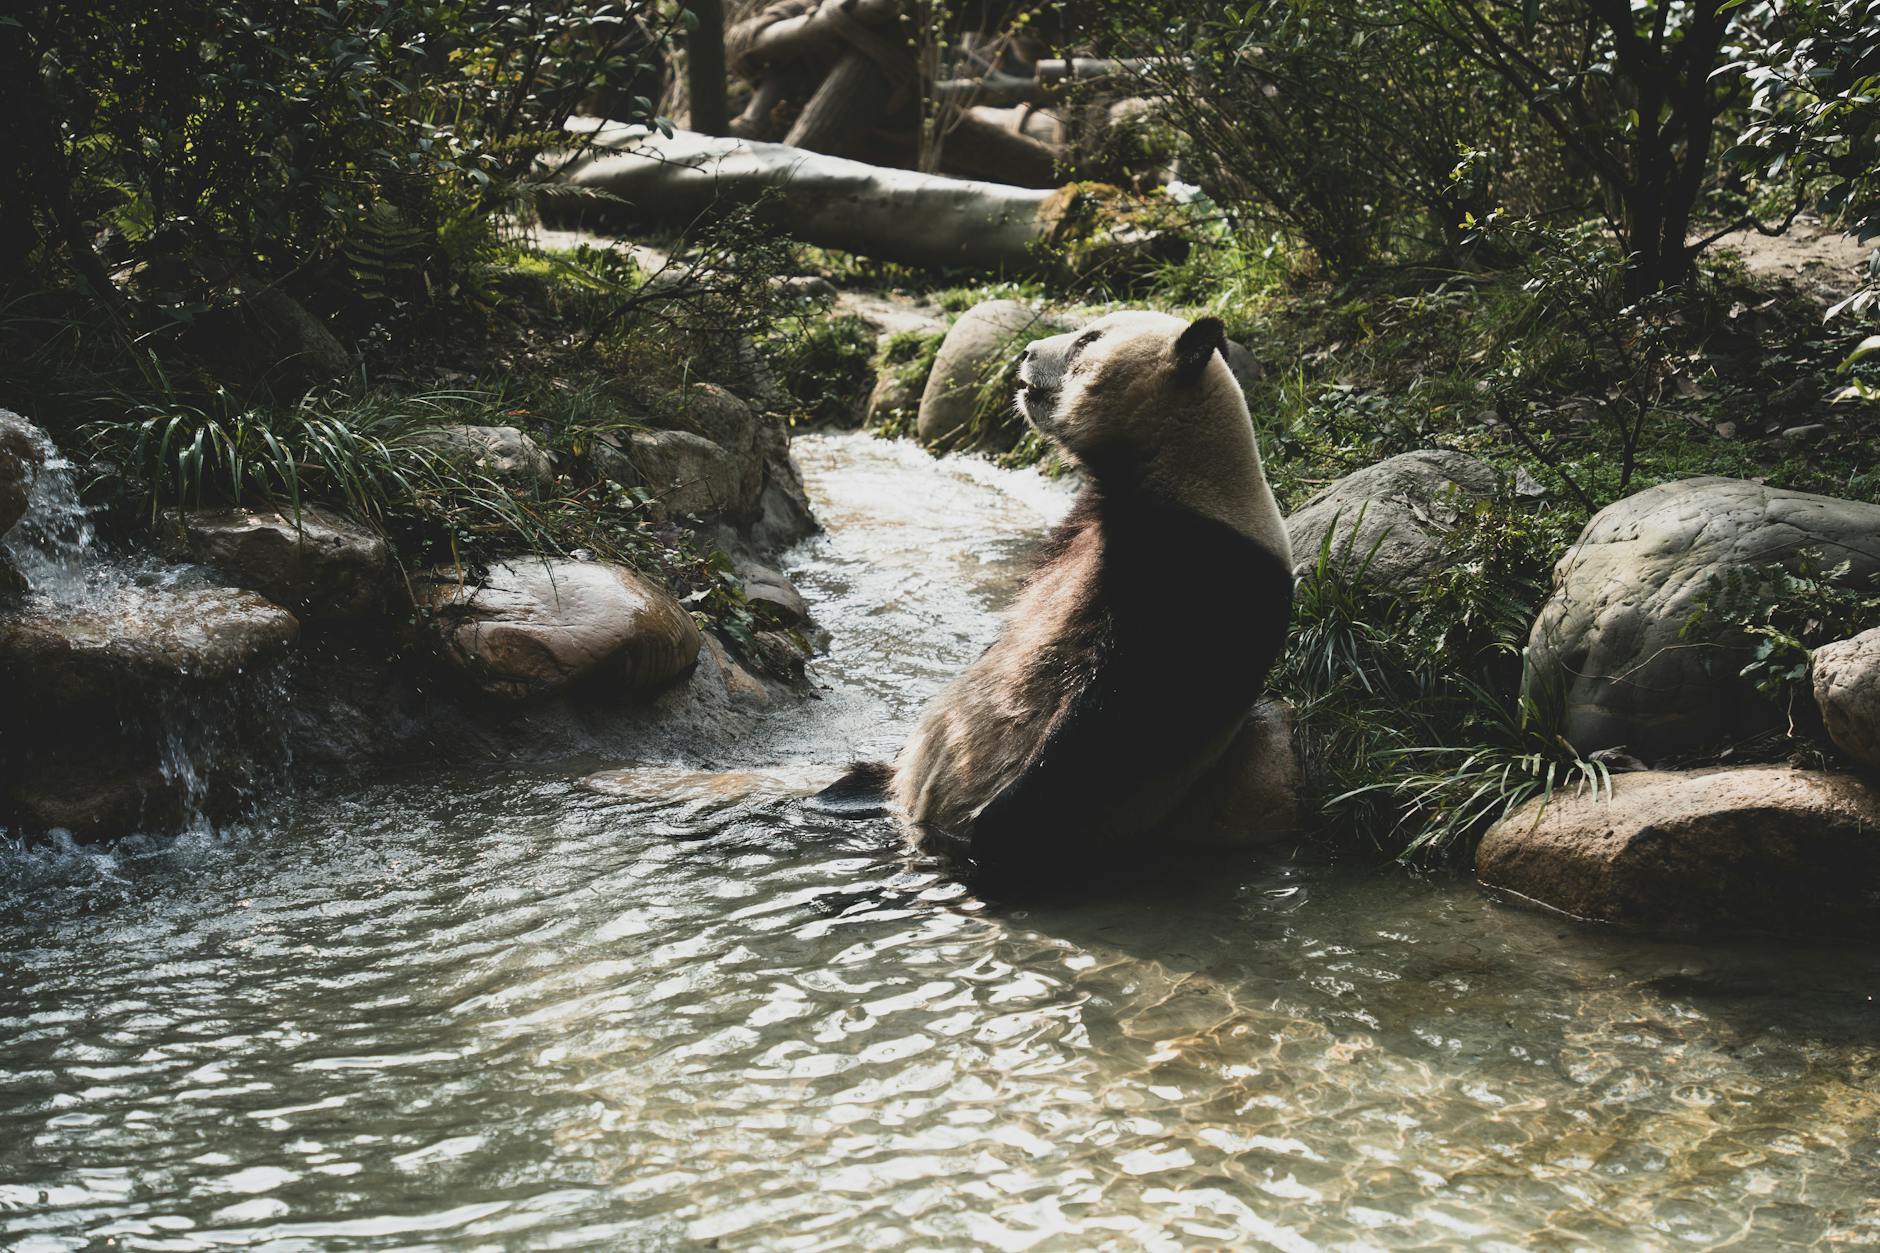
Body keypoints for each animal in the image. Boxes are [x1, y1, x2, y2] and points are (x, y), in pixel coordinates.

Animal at [816, 310, 1294, 881]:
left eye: (1087, 339)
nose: (1024, 353)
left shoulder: (1201, 570)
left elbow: (1130, 708)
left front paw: (995, 821)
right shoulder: (1080, 527)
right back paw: (844, 793)